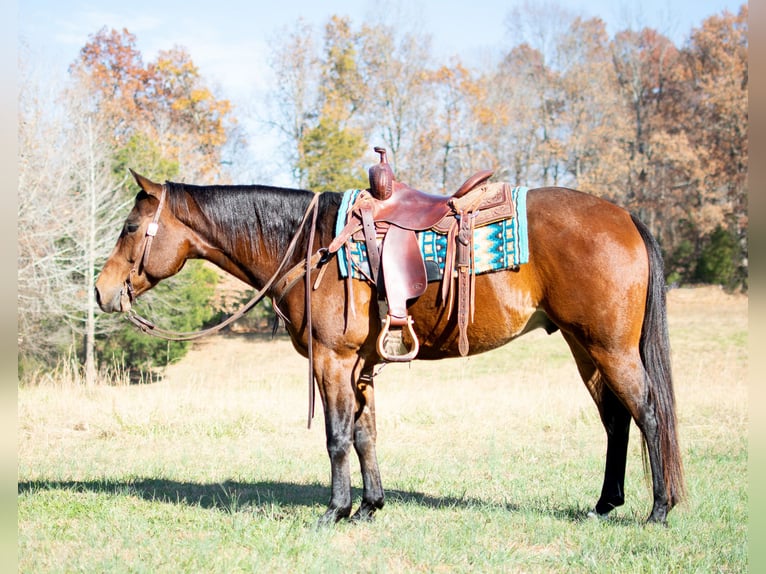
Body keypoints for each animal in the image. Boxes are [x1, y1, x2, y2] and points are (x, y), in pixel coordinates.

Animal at [93, 170, 688, 528]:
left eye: (130, 227)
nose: (101, 290)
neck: (312, 248)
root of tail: (624, 216)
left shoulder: (332, 361)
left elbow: (336, 438)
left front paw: (334, 511)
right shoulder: (360, 365)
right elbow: (365, 434)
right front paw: (369, 507)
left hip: (610, 348)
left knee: (649, 413)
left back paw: (659, 510)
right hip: (585, 347)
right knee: (616, 420)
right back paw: (605, 504)